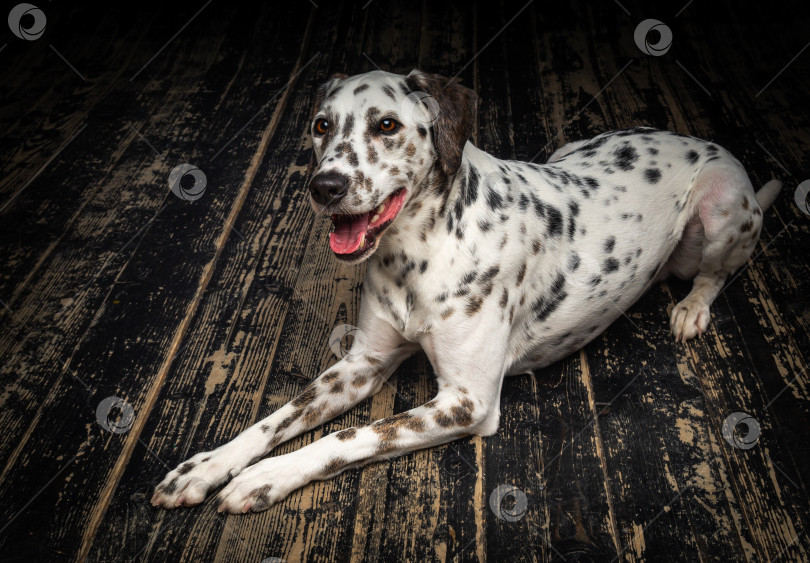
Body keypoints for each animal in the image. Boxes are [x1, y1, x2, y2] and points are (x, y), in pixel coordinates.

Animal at [150, 68, 776, 512]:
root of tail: (690, 136)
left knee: (715, 272)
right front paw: (207, 466)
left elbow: (351, 435)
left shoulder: (466, 401)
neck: (416, 255)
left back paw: (691, 308)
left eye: (386, 125)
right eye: (321, 125)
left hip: (723, 204)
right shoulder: (361, 363)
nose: (324, 186)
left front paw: (265, 477)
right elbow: (277, 417)